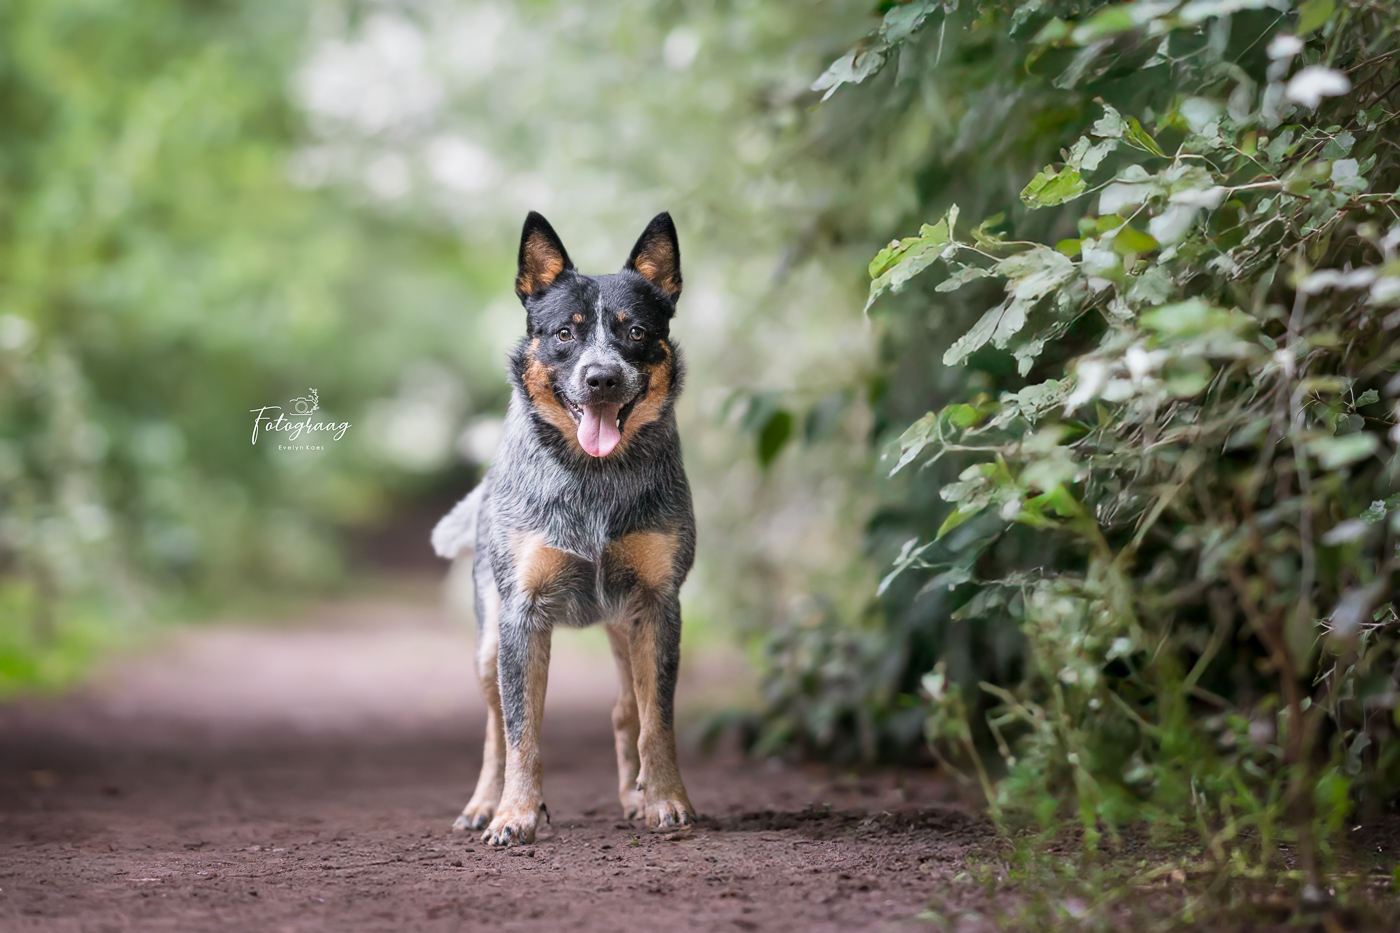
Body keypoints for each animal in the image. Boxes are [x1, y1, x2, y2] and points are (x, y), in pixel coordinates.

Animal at [432, 211, 696, 846]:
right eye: (564, 334)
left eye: (635, 332)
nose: (601, 378)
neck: (593, 482)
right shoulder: (523, 613)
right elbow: (521, 732)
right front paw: (514, 814)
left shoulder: (659, 605)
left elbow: (657, 721)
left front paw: (666, 801)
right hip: (487, 642)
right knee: (494, 728)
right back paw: (483, 804)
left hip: (624, 627)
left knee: (625, 711)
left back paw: (635, 795)